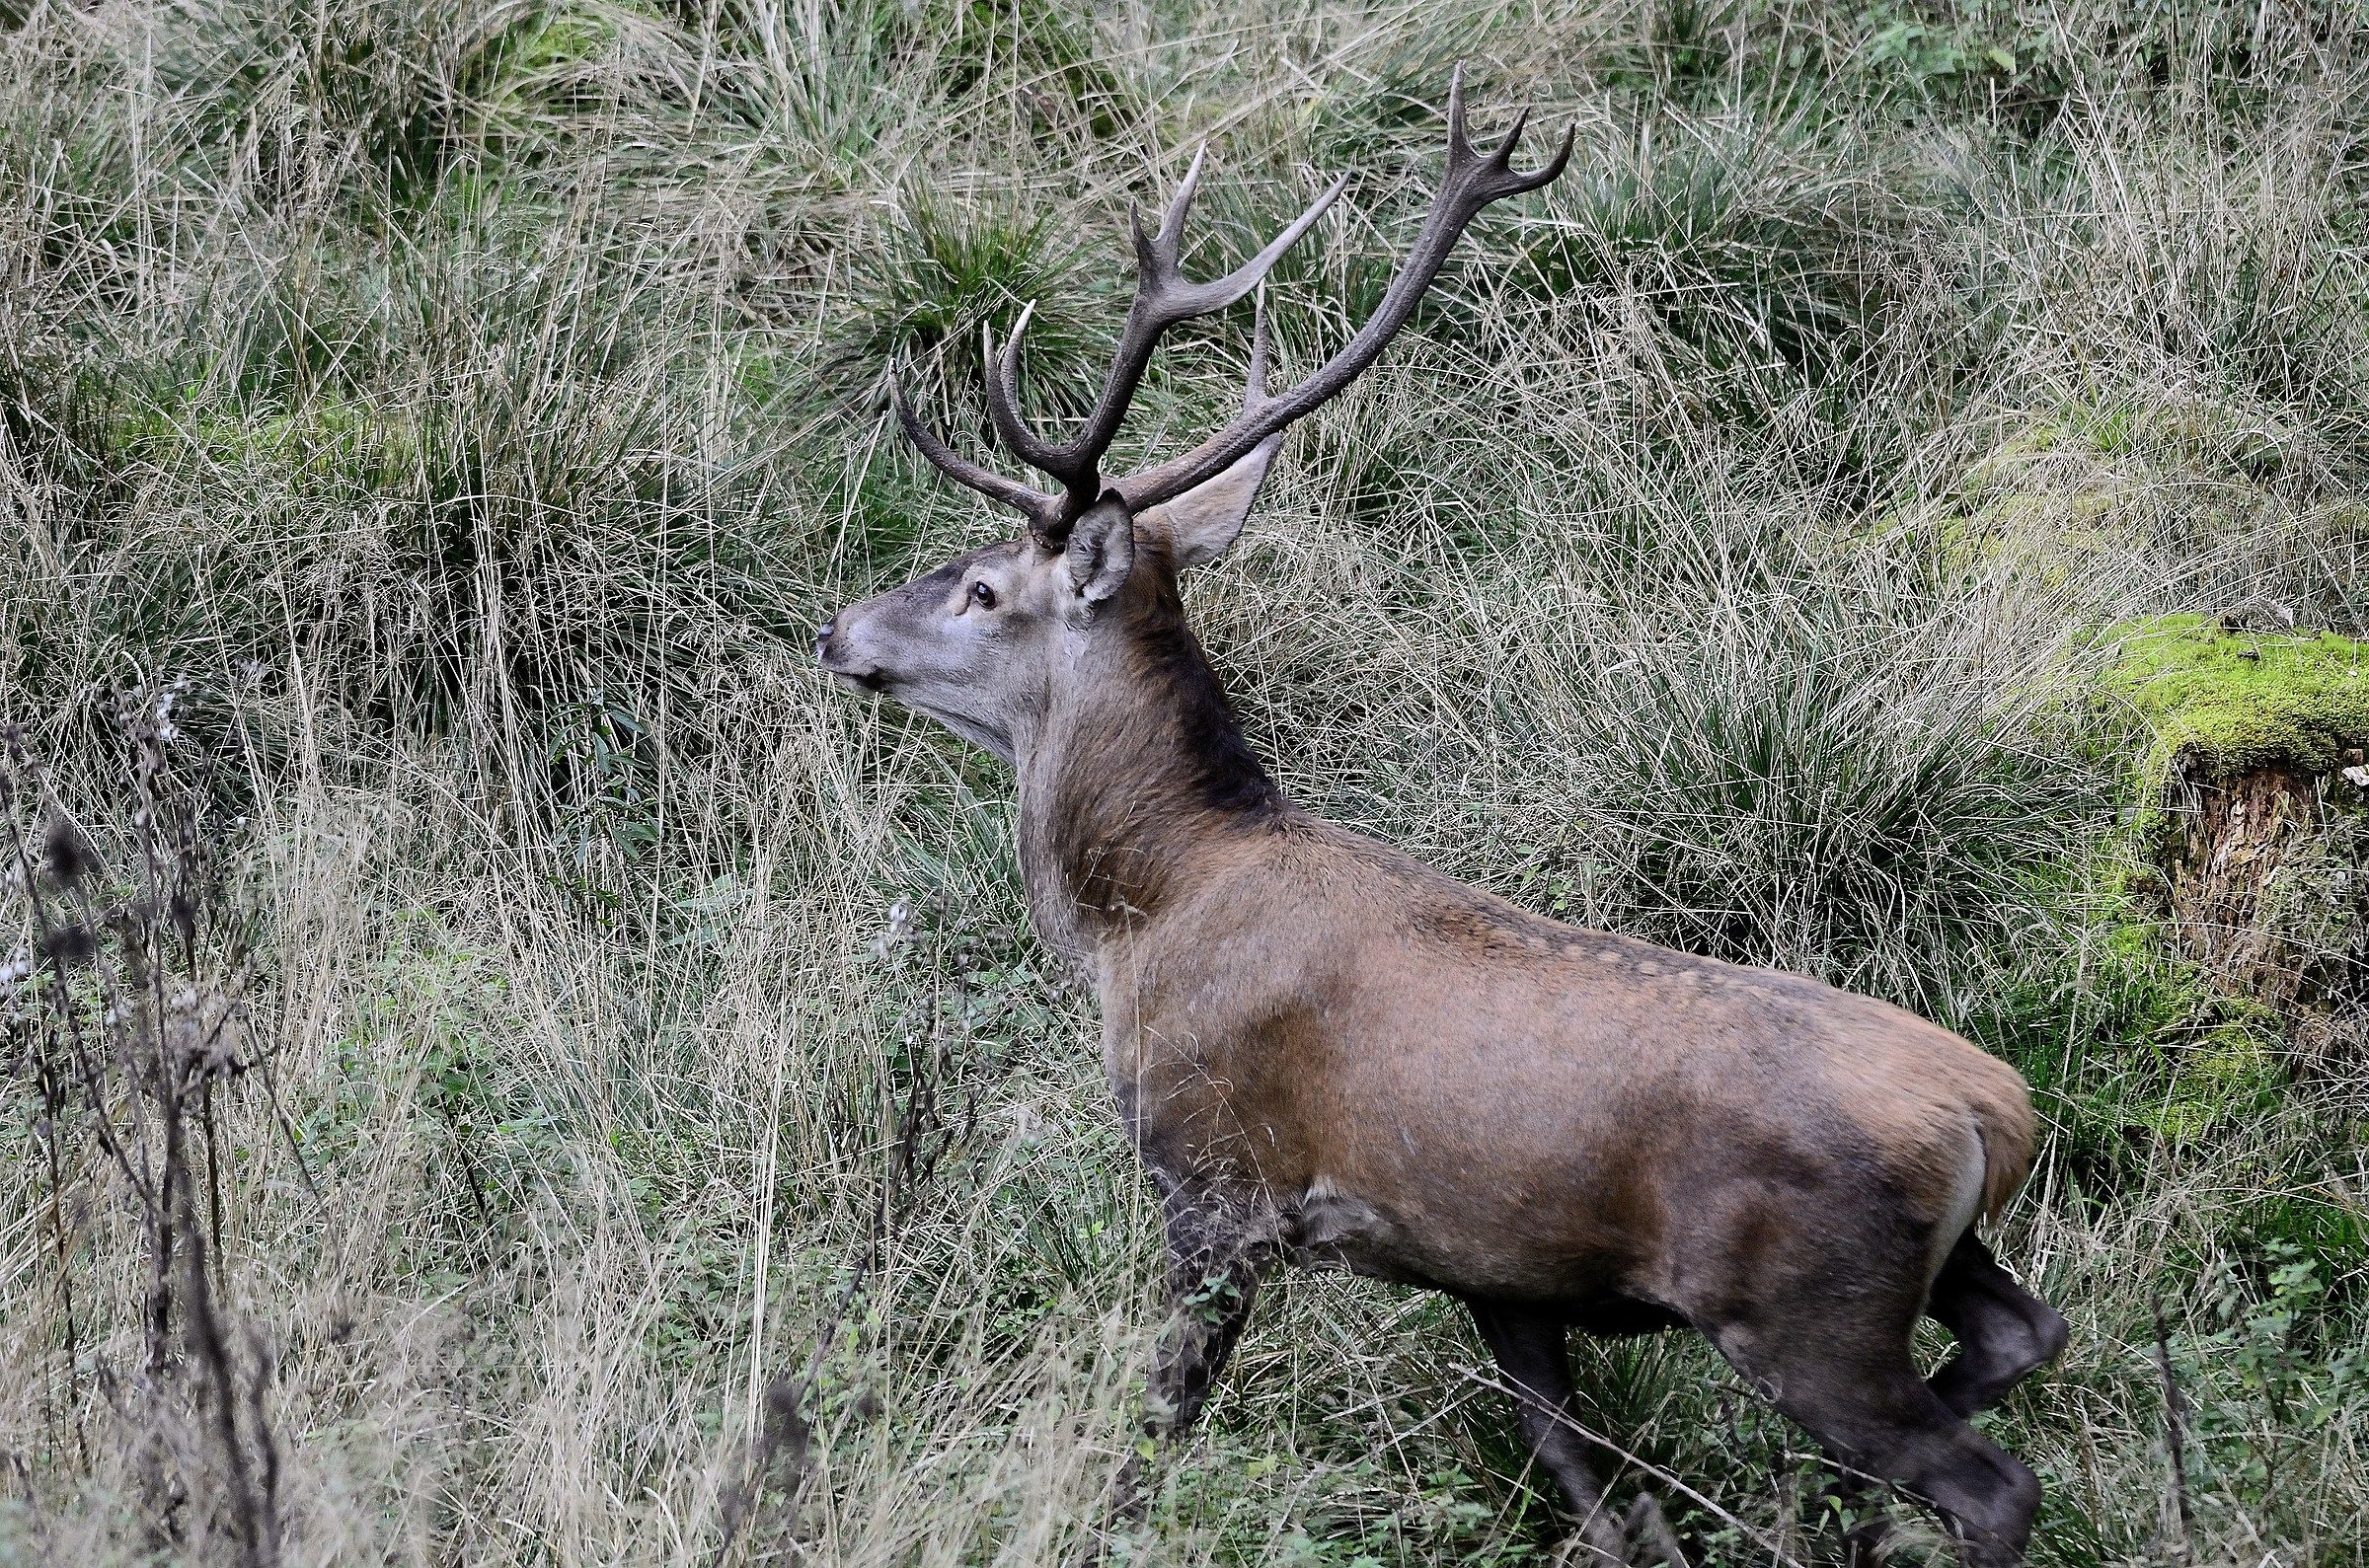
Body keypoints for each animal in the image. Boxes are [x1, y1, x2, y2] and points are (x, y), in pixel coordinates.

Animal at [816, 72, 2068, 1568]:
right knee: (2024, 1331)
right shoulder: (1495, 1268)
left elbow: (1157, 1420)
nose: (839, 628)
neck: (1147, 907)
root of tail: (1997, 1114)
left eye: (984, 589)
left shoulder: (1214, 1181)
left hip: (1806, 1303)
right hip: (1927, 1270)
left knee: (1991, 1477)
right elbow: (1582, 1470)